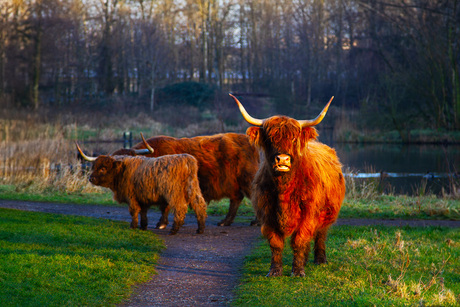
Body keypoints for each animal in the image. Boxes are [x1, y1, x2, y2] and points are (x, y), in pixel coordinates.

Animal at [75, 143, 207, 235]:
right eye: (94, 166)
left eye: (103, 168)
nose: (91, 178)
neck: (122, 172)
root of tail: (187, 159)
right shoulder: (143, 197)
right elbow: (143, 212)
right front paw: (143, 227)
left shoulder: (131, 196)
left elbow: (134, 211)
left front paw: (133, 226)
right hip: (193, 188)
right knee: (199, 205)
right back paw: (200, 229)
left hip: (174, 193)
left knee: (180, 208)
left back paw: (174, 230)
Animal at [112, 133, 258, 229]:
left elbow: (165, 206)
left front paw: (161, 224)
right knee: (236, 198)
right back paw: (225, 222)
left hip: (248, 180)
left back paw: (255, 221)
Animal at [230, 93, 344, 276]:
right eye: (270, 138)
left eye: (294, 138)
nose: (282, 160)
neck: (284, 189)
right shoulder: (267, 215)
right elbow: (276, 243)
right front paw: (275, 271)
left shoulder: (308, 214)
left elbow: (299, 240)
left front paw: (297, 271)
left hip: (326, 214)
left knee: (320, 235)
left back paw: (320, 260)